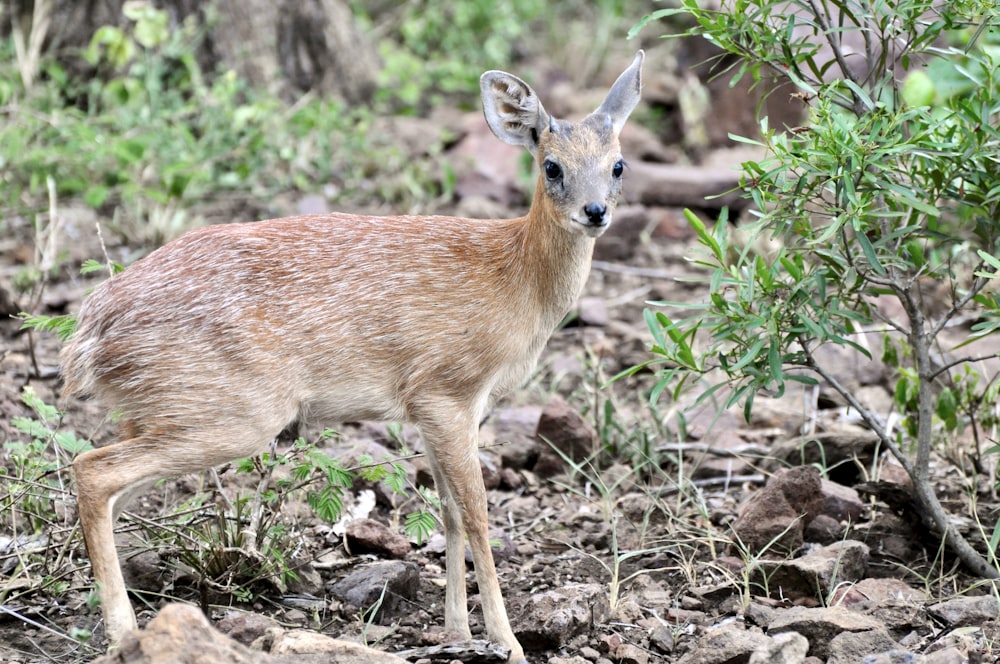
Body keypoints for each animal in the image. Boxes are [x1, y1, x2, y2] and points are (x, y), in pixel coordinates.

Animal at [62, 49, 644, 660]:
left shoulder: (434, 410)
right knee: (91, 470)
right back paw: (125, 633)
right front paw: (507, 642)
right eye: (551, 166)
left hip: (163, 411)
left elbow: (449, 514)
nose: (595, 211)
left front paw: (458, 632)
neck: (516, 278)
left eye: (619, 164)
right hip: (235, 415)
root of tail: (89, 331)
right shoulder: (448, 392)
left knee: (104, 487)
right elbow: (478, 515)